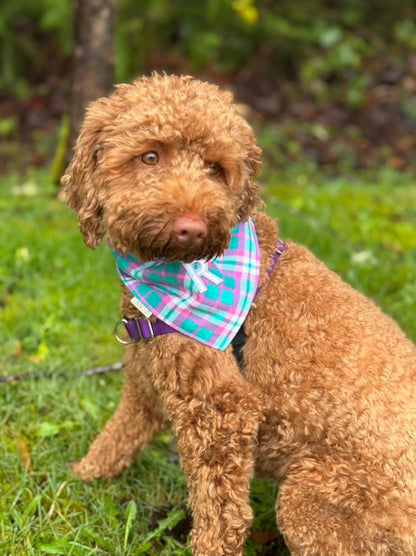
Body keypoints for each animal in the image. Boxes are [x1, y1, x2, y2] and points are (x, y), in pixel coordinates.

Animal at [61, 71, 416, 552]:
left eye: (215, 168)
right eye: (149, 156)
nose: (191, 227)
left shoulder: (222, 409)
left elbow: (219, 513)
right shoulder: (146, 380)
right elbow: (119, 434)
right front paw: (82, 476)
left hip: (309, 499)